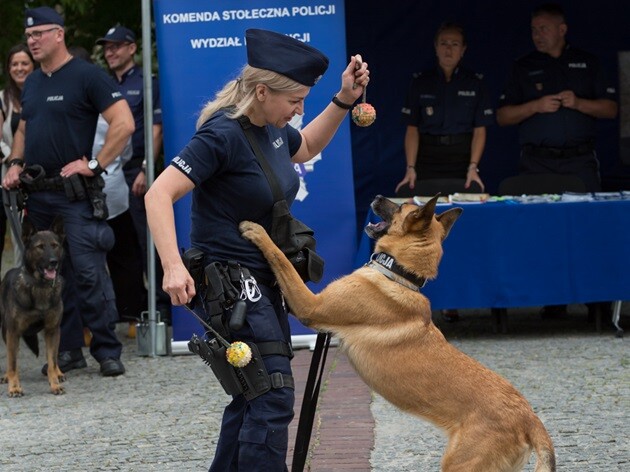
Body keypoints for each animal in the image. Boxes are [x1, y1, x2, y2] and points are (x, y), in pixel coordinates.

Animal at [0, 216, 65, 396]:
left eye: (55, 245)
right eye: (40, 247)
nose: (53, 262)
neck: (40, 286)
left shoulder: (52, 330)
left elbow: (52, 361)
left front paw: (55, 384)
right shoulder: (13, 332)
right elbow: (12, 363)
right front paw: (14, 387)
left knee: (55, 357)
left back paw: (59, 373)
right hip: (5, 331)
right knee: (11, 358)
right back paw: (7, 376)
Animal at [239, 195, 556, 472]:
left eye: (401, 206)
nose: (377, 196)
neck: (399, 274)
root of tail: (529, 418)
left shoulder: (310, 306)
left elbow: (280, 260)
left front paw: (257, 232)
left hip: (459, 465)